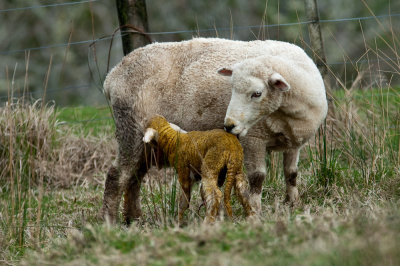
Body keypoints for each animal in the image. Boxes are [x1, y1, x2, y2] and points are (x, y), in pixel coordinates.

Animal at [101, 37, 328, 224]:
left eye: (257, 93)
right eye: (232, 88)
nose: (229, 125)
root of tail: (112, 75)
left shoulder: (293, 142)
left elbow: (291, 174)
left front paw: (294, 205)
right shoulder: (254, 139)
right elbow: (257, 178)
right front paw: (255, 212)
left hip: (146, 144)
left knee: (134, 177)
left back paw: (133, 218)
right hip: (130, 128)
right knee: (117, 175)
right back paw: (110, 222)